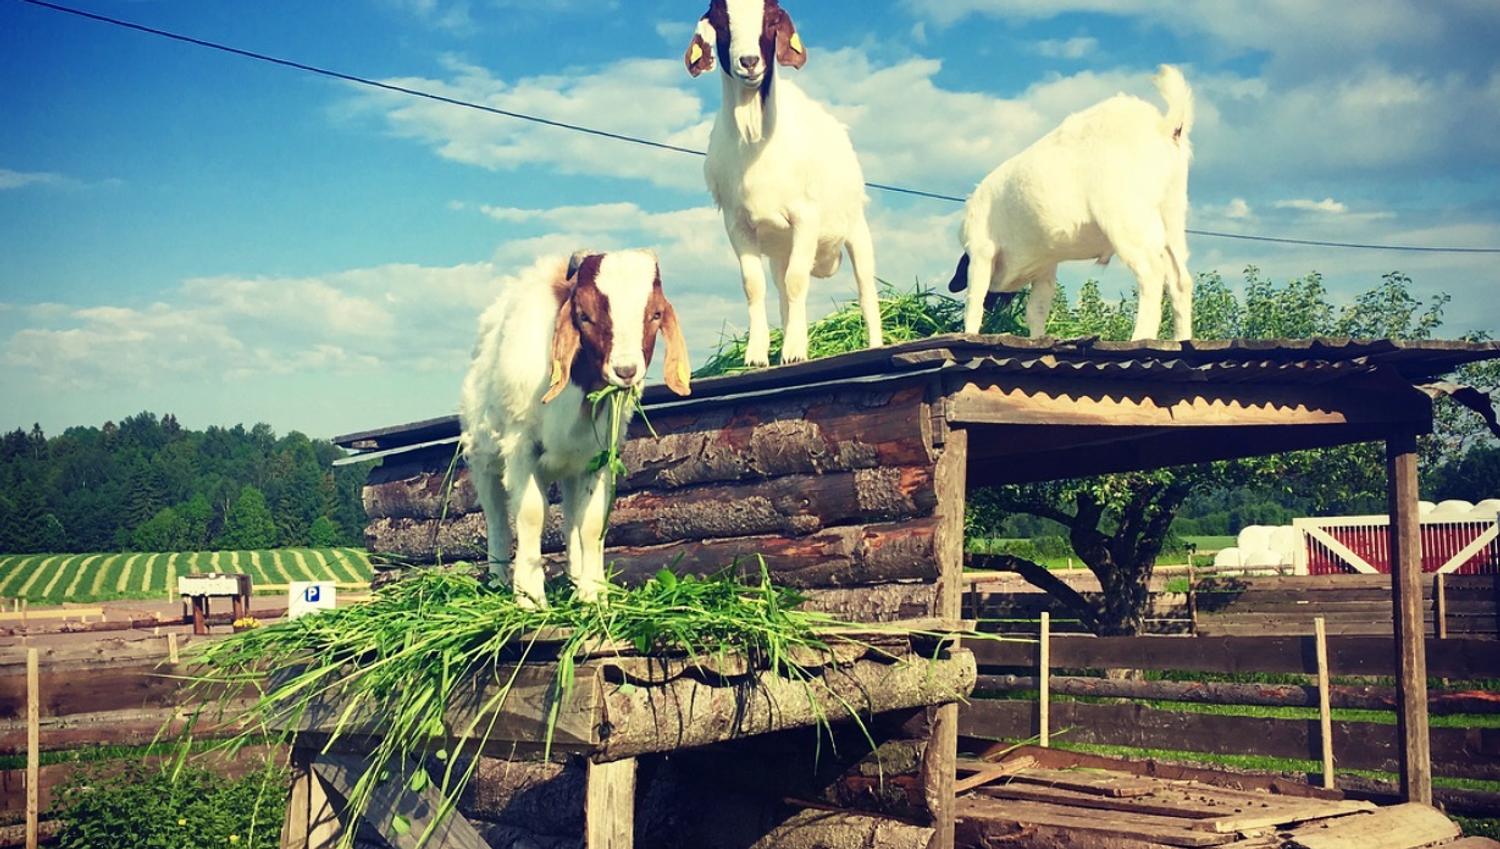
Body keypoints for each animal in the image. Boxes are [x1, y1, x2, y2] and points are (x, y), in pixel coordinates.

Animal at [459, 250, 691, 607]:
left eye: (655, 314)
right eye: (583, 315)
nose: (626, 371)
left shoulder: (597, 456)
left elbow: (591, 523)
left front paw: (593, 595)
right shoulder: (521, 446)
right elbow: (530, 514)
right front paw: (530, 598)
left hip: (569, 467)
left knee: (571, 519)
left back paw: (575, 578)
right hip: (483, 458)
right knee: (496, 519)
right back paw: (498, 582)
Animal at [686, 0, 883, 366]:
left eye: (771, 20)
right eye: (720, 21)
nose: (749, 62)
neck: (754, 138)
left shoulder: (806, 215)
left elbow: (797, 282)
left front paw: (793, 353)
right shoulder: (737, 224)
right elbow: (754, 285)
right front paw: (757, 356)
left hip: (856, 228)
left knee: (865, 288)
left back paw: (875, 345)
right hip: (781, 248)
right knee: (781, 291)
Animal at [949, 65, 1196, 341]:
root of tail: (1164, 125)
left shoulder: (981, 250)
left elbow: (974, 301)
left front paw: (969, 334)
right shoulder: (1046, 268)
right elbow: (1036, 310)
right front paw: (1038, 339)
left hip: (1127, 218)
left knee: (1152, 272)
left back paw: (1140, 337)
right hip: (1171, 216)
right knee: (1180, 280)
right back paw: (1182, 339)